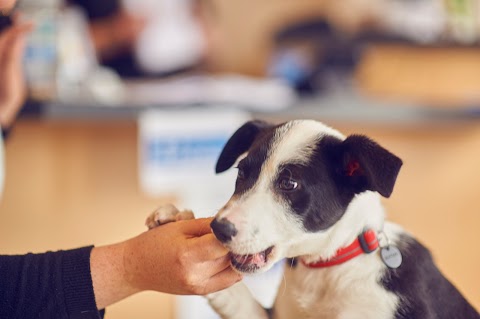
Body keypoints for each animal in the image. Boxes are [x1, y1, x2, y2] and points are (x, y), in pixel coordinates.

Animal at [147, 119, 480, 319]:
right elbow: (237, 298)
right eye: (242, 173)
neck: (327, 267)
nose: (218, 228)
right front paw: (175, 217)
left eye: (289, 184)